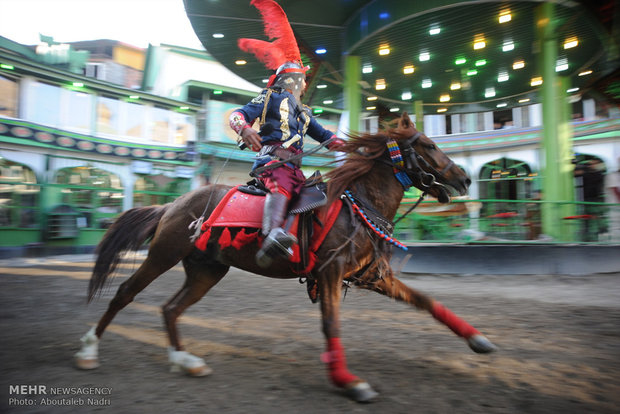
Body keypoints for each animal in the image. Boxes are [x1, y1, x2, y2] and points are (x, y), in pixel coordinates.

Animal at [75, 112, 496, 402]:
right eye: (428, 145)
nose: (464, 178)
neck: (359, 204)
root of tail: (173, 204)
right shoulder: (330, 272)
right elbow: (331, 324)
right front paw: (349, 382)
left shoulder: (372, 275)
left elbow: (426, 301)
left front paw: (477, 339)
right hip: (164, 254)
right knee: (126, 293)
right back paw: (89, 349)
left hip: (207, 270)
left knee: (171, 308)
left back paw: (185, 360)